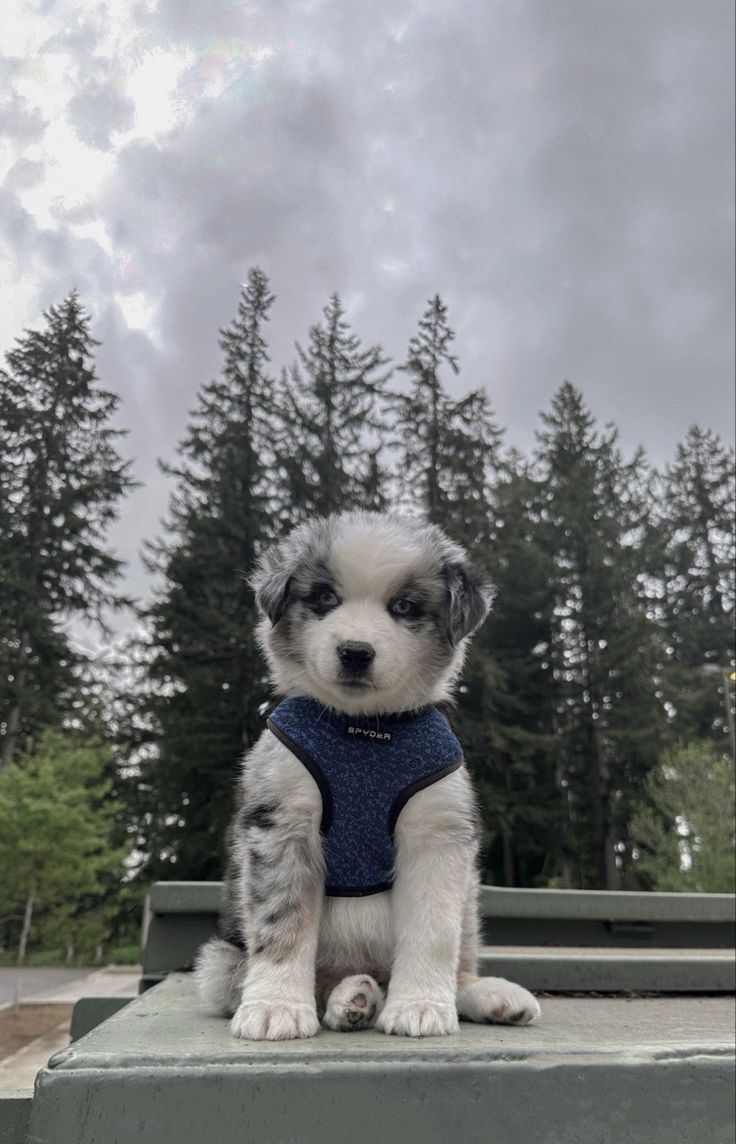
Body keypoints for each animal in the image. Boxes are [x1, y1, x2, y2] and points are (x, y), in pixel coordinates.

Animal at [195, 514, 540, 1043]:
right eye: (323, 598)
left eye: (404, 607)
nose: (355, 652)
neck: (365, 730)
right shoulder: (281, 818)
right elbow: (281, 923)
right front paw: (275, 1007)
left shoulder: (437, 830)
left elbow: (433, 932)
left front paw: (420, 1007)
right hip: (219, 959)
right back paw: (350, 998)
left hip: (469, 900)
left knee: (456, 957)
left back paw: (485, 996)